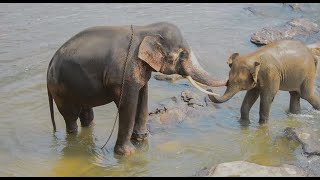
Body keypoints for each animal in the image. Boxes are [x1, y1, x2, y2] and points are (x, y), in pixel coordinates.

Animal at [47, 21, 228, 155]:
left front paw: (142, 139)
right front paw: (127, 153)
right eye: (182, 54)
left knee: (86, 114)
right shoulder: (123, 73)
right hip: (60, 89)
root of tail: (51, 61)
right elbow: (128, 103)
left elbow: (143, 95)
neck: (146, 29)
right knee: (70, 116)